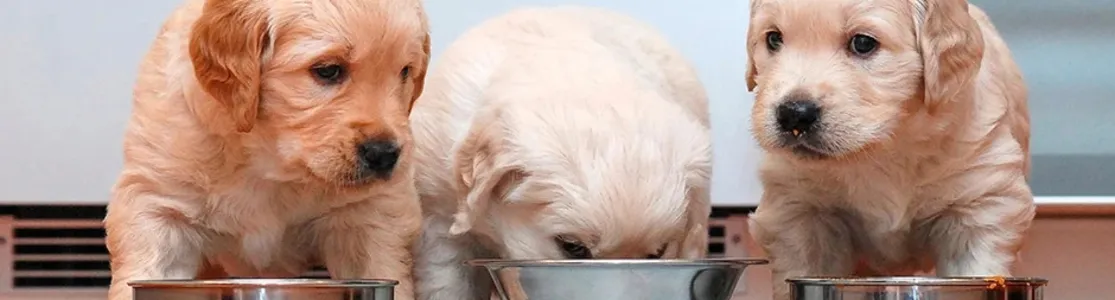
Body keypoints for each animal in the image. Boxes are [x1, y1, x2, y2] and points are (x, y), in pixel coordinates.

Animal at [104, 0, 428, 298]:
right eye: (328, 70)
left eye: (405, 72)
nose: (385, 154)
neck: (269, 160)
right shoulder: (157, 208)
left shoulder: (370, 217)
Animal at [740, 0, 1034, 296]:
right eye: (774, 39)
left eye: (862, 43)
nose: (794, 115)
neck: (884, 146)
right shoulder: (797, 212)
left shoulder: (980, 207)